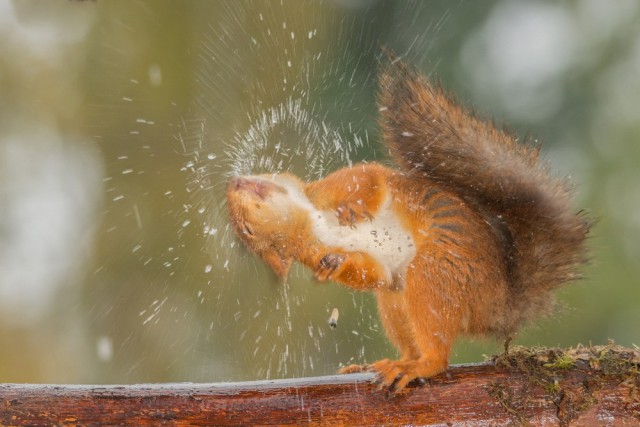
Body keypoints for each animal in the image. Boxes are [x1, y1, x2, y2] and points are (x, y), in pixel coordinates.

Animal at [225, 59, 592, 392]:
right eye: (247, 232)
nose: (233, 182)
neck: (311, 223)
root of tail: (495, 304)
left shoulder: (335, 187)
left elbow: (370, 180)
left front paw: (350, 210)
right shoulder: (319, 251)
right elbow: (371, 273)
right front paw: (334, 265)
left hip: (436, 271)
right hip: (407, 294)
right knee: (428, 349)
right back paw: (401, 364)